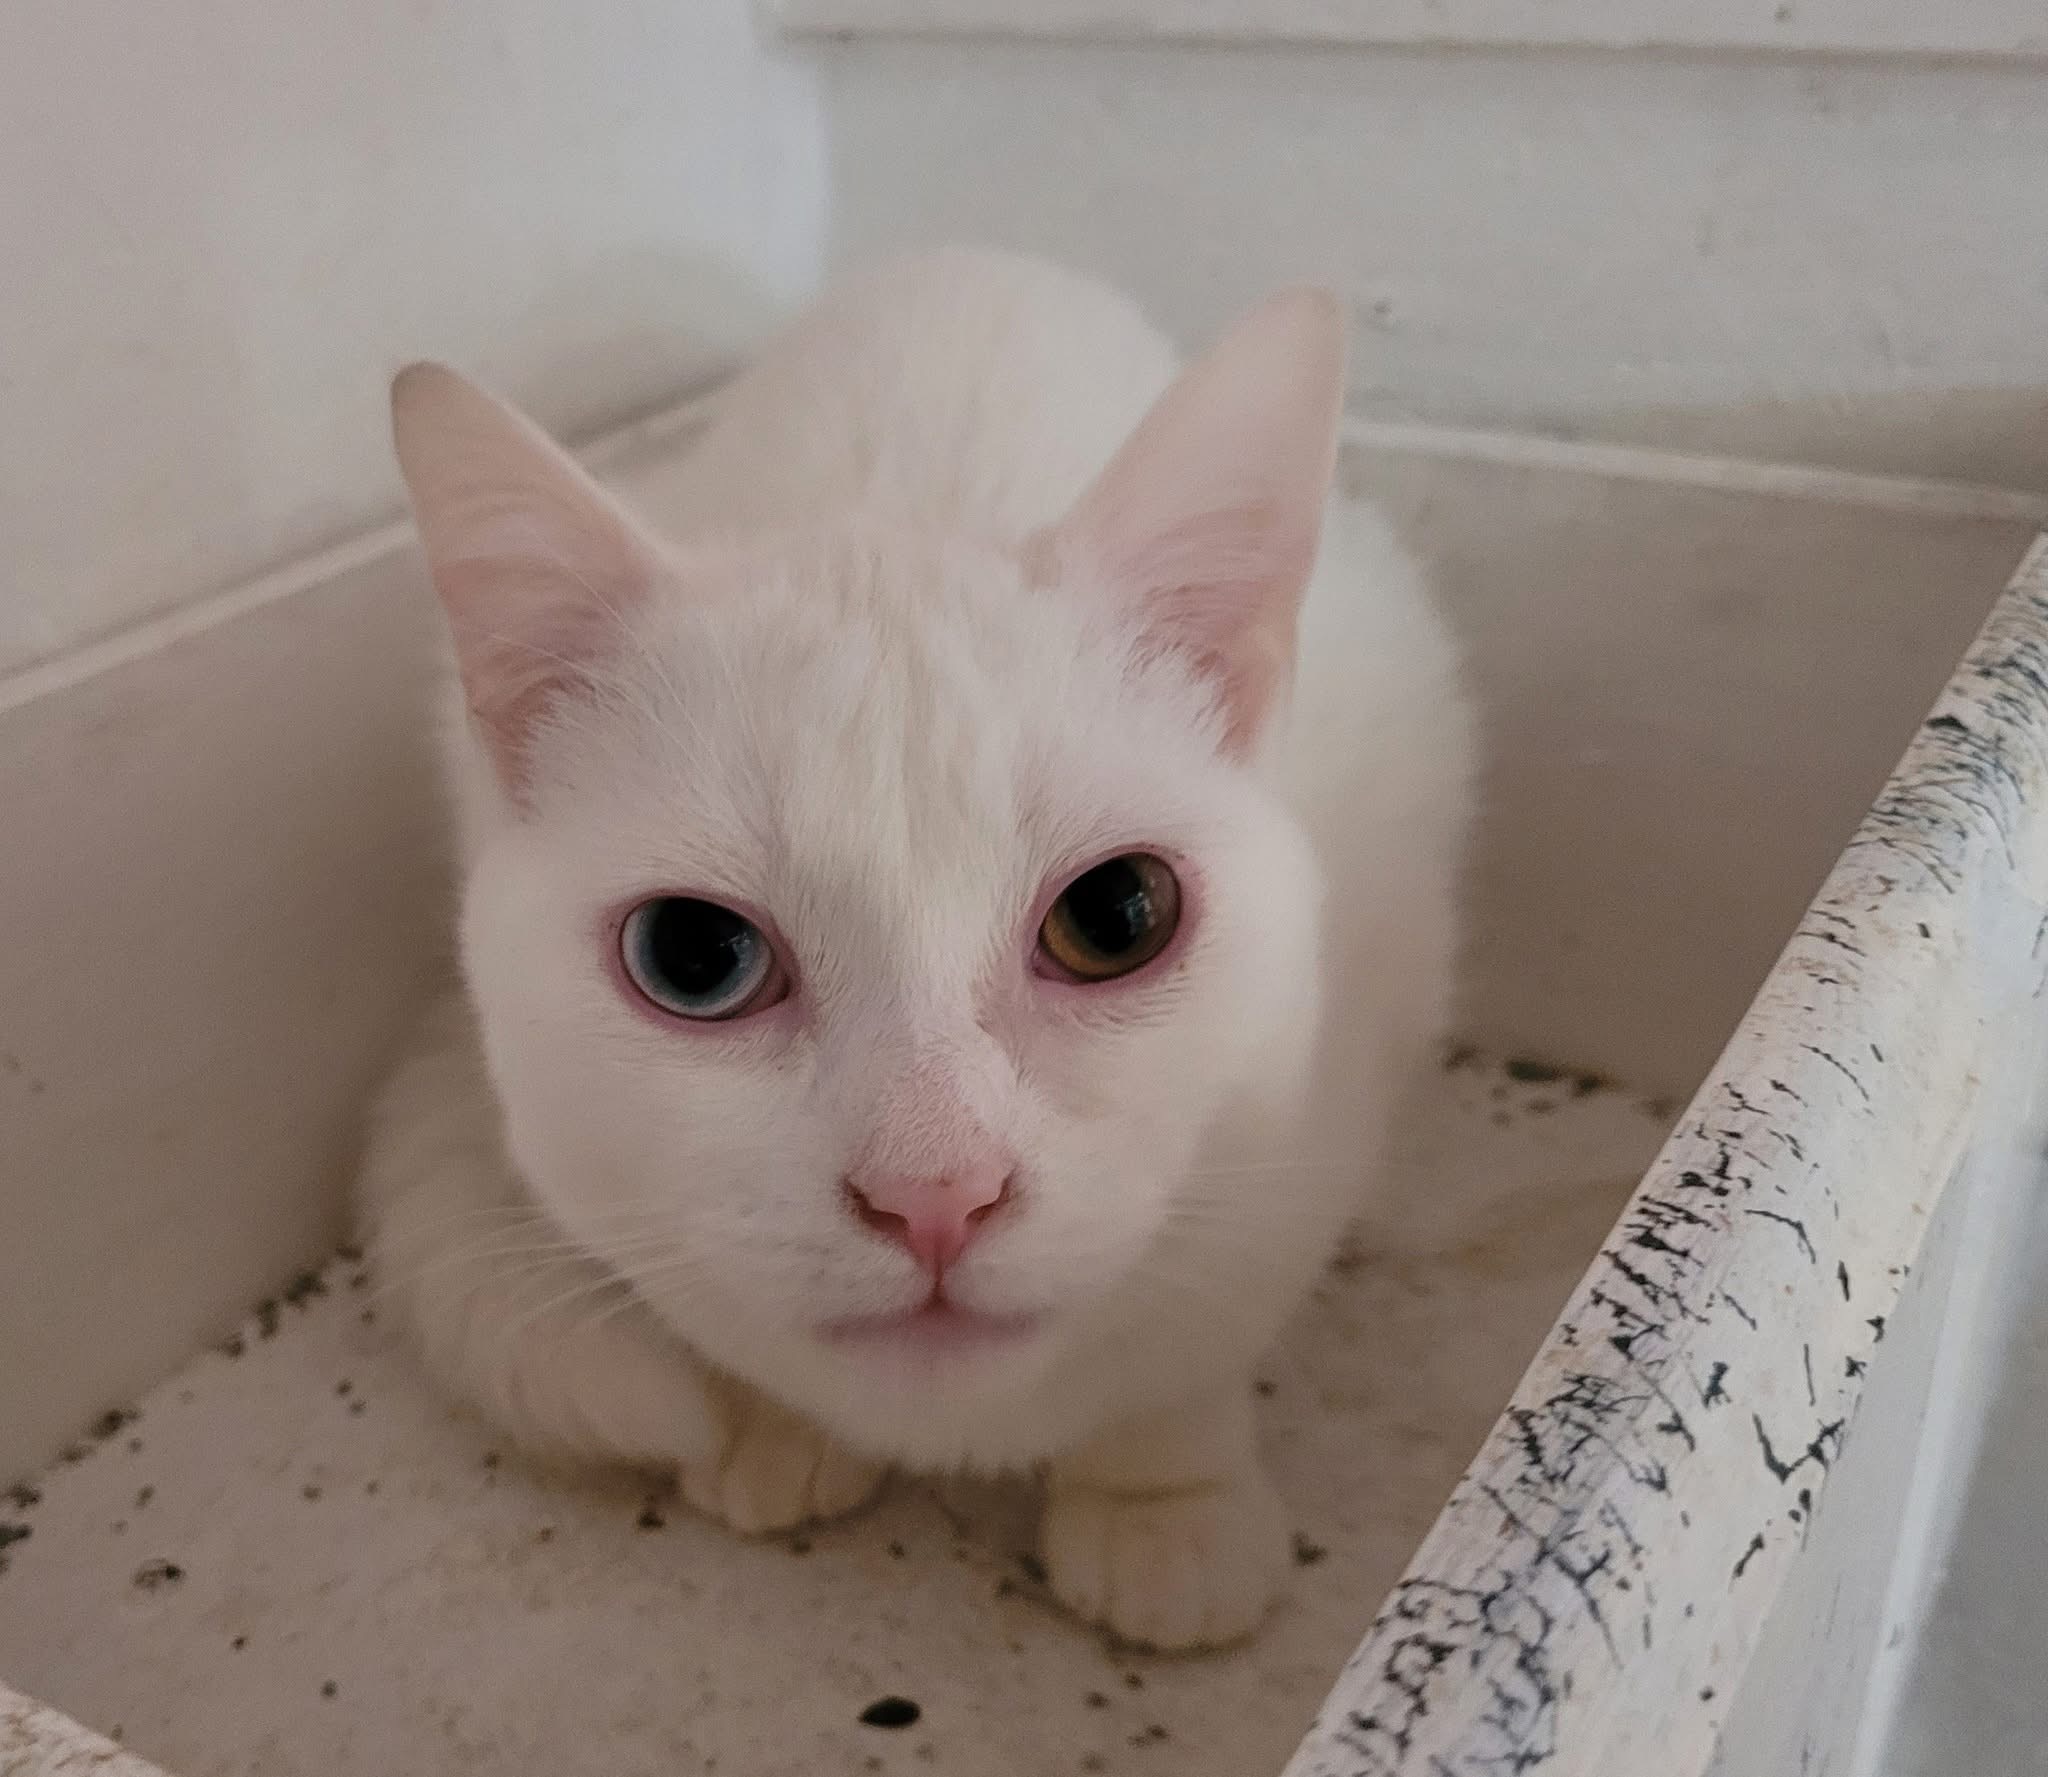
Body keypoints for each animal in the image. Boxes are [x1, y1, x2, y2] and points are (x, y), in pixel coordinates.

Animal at [360, 247, 1474, 1650]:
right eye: (692, 955)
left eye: (1118, 914)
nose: (934, 1191)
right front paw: (777, 1432)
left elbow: (1200, 1326)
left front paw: (1163, 1496)